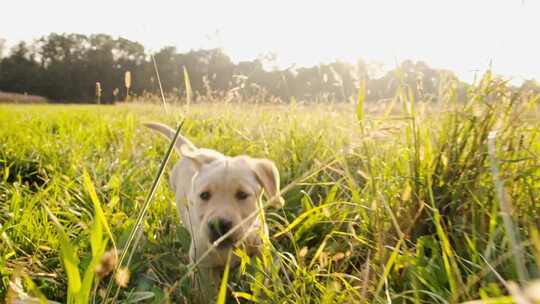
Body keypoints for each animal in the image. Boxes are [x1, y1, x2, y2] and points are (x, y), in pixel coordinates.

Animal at [146, 121, 284, 284]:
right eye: (204, 195)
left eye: (242, 194)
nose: (219, 225)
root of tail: (194, 151)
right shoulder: (203, 267)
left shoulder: (261, 251)